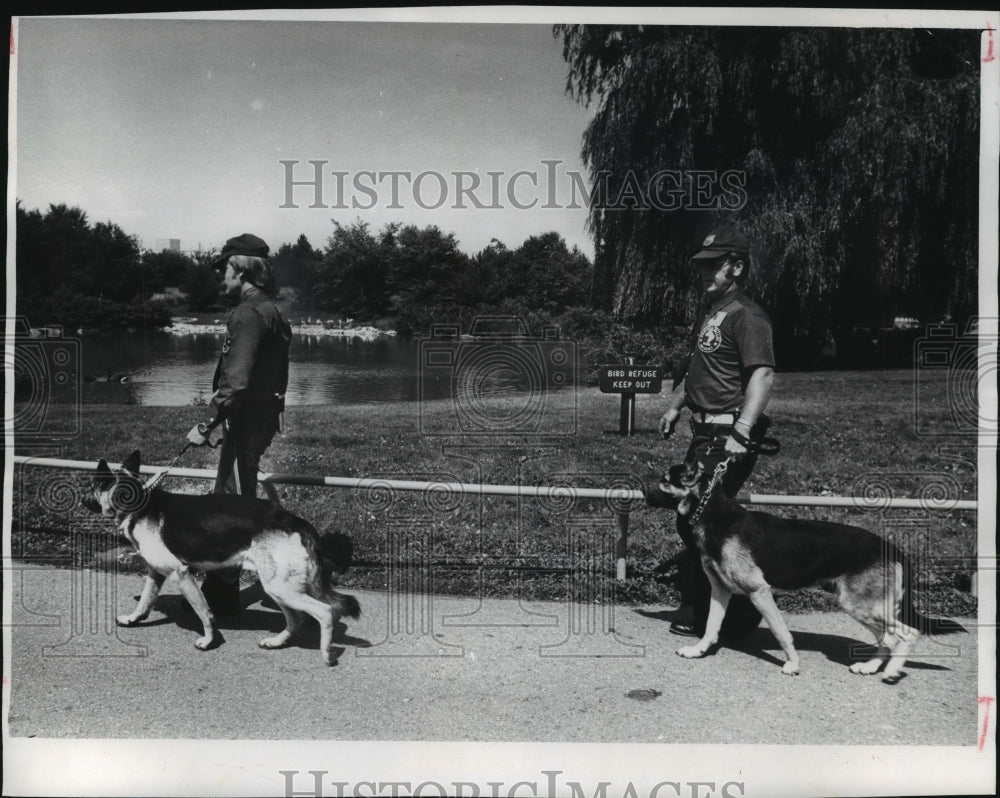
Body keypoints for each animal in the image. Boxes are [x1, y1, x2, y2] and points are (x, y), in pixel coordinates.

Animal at [84, 454, 362, 664]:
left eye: (92, 486)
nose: (83, 500)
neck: (139, 504)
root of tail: (292, 519)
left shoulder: (181, 574)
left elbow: (204, 613)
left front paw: (208, 641)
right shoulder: (156, 574)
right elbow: (144, 602)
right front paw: (133, 619)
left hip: (280, 588)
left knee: (325, 612)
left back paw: (326, 653)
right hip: (278, 588)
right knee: (298, 619)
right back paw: (275, 642)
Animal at [652, 460, 964, 684]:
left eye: (665, 480)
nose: (644, 489)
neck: (712, 512)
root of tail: (892, 547)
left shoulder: (759, 592)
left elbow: (782, 633)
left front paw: (793, 664)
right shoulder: (721, 591)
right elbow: (710, 627)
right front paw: (698, 651)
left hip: (861, 605)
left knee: (906, 634)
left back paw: (890, 672)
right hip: (865, 607)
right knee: (887, 639)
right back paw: (871, 667)